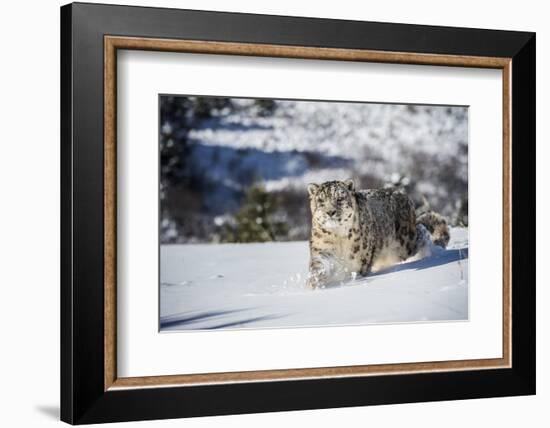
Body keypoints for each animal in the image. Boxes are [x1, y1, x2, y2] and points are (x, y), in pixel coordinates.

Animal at [308, 179, 450, 290]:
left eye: (339, 199)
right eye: (321, 201)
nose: (330, 212)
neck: (338, 236)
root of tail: (403, 194)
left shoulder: (359, 261)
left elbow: (355, 272)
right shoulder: (322, 249)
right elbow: (318, 266)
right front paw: (314, 282)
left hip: (404, 245)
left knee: (422, 234)